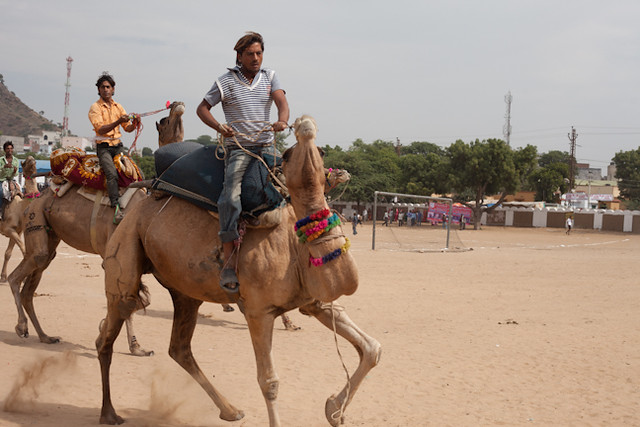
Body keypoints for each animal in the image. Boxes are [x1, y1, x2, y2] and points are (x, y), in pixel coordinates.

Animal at [6, 102, 186, 356]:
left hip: (50, 238)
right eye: (164, 122)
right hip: (36, 221)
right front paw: (109, 334)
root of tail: (37, 196)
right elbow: (132, 300)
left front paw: (137, 347)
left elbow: (140, 300)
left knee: (30, 287)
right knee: (17, 277)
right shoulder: (113, 257)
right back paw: (22, 327)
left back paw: (46, 337)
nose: (178, 105)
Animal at [96, 115, 381, 426]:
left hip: (185, 291)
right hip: (125, 251)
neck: (294, 242)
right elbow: (269, 382)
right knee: (108, 332)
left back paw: (231, 410)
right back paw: (109, 413)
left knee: (178, 347)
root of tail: (145, 197)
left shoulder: (313, 300)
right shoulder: (258, 310)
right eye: (289, 154)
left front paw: (334, 410)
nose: (305, 124)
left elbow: (372, 348)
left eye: (321, 152)